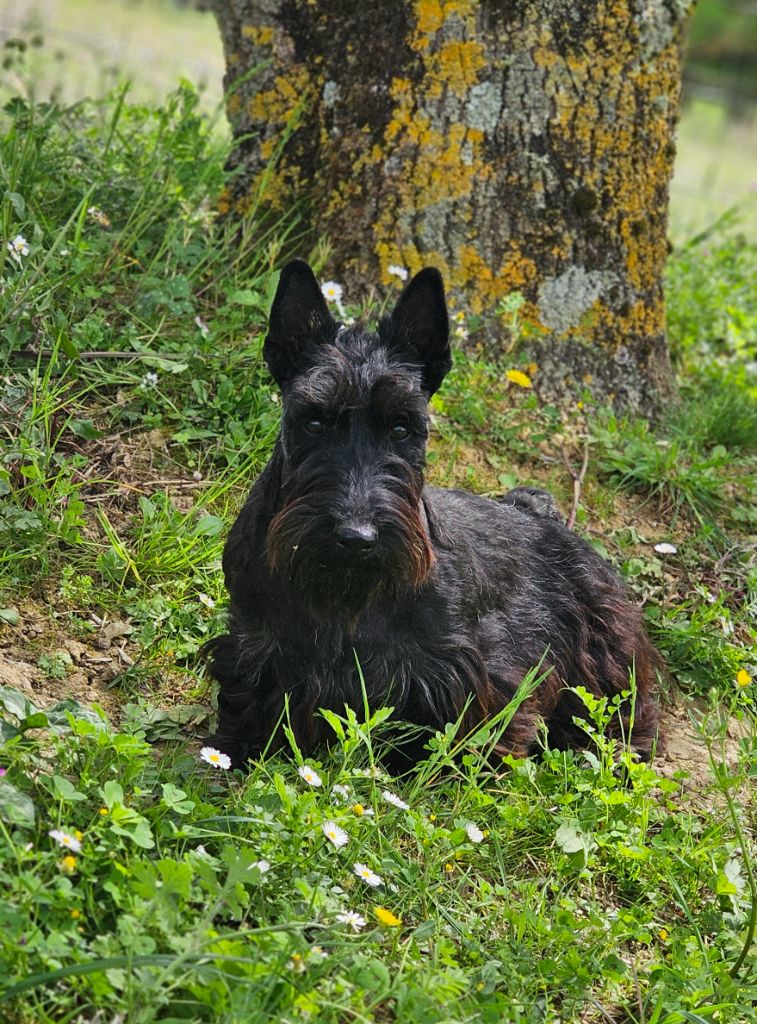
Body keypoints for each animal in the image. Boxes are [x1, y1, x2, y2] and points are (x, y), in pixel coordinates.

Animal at [208, 262, 663, 770]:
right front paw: (240, 746)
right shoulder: (258, 647)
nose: (356, 537)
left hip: (605, 650)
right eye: (314, 420)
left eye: (403, 427)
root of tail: (537, 511)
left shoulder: (464, 672)